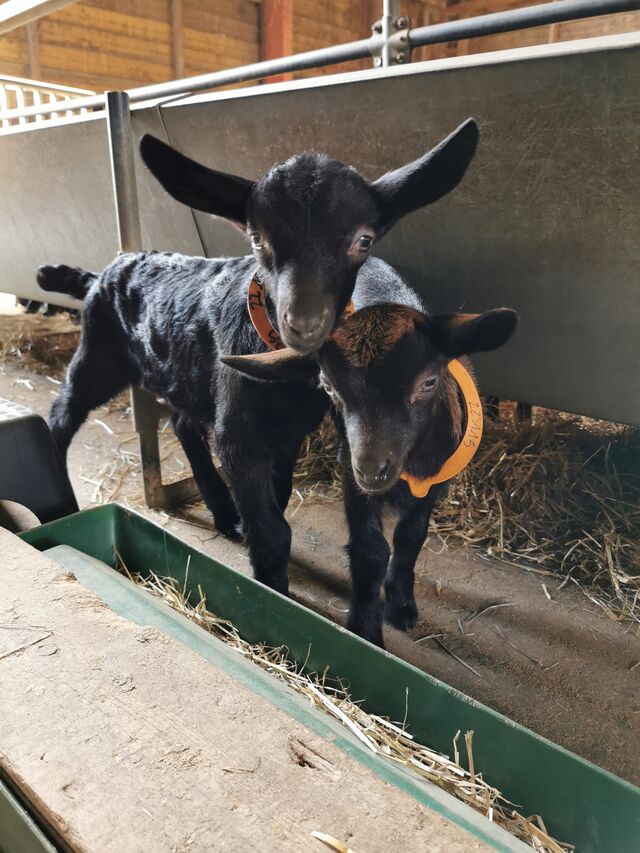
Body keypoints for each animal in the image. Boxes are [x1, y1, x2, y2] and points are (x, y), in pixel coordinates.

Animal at [223, 289, 518, 647]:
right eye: (329, 387)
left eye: (429, 382)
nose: (372, 469)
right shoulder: (353, 480)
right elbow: (371, 550)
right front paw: (365, 630)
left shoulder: (433, 486)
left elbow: (410, 540)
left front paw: (401, 607)